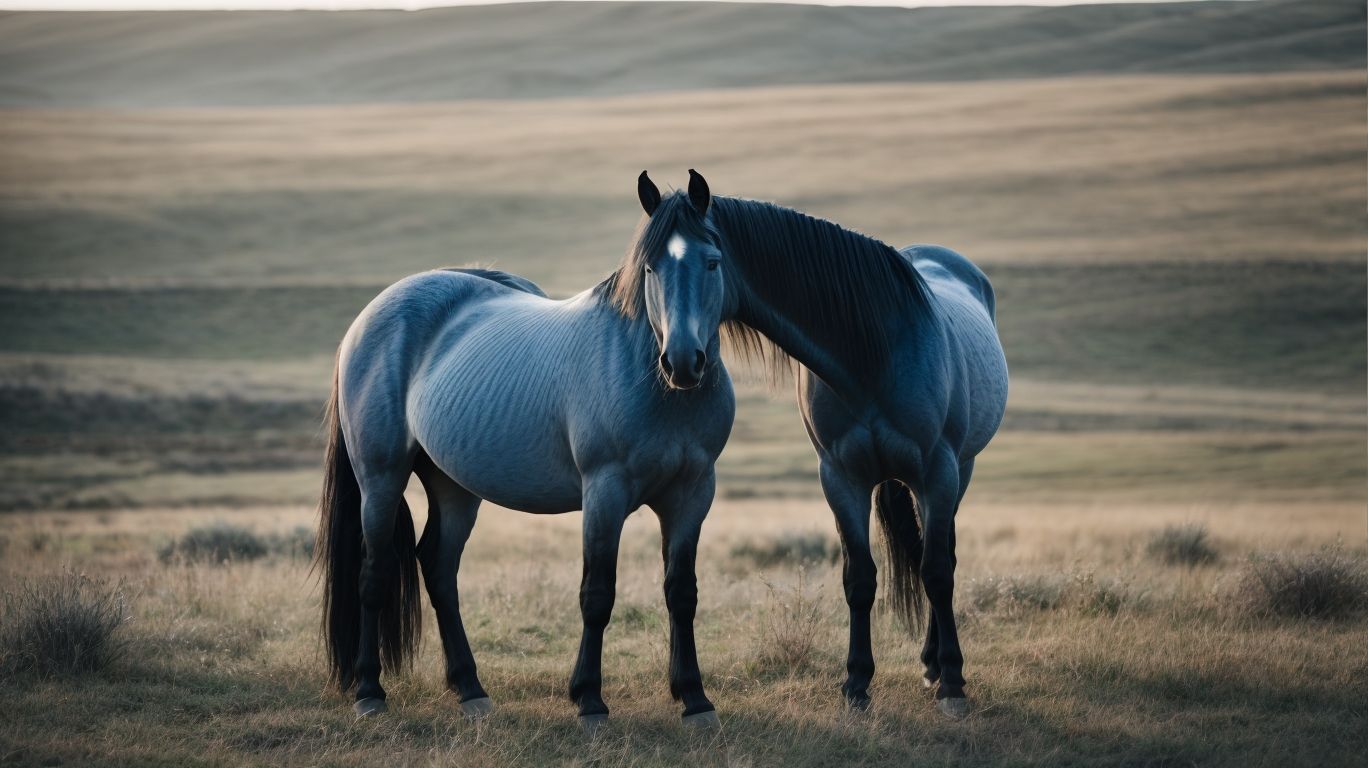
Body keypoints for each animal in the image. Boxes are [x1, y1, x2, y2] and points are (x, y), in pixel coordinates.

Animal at [314, 173, 737, 729]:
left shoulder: (692, 494)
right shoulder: (605, 493)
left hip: (453, 486)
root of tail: (366, 320)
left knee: (439, 568)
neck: (654, 384)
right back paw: (369, 691)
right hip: (380, 478)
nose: (683, 362)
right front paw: (590, 700)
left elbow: (681, 592)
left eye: (712, 262)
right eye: (650, 267)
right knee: (374, 572)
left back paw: (470, 690)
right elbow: (597, 593)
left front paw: (695, 699)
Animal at [623, 171, 1009, 718]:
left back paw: (939, 667)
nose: (681, 361)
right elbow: (859, 578)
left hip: (961, 471)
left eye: (713, 262)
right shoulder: (840, 477)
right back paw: (928, 664)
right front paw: (857, 684)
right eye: (650, 267)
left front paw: (953, 684)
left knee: (943, 557)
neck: (872, 354)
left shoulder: (938, 473)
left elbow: (937, 572)